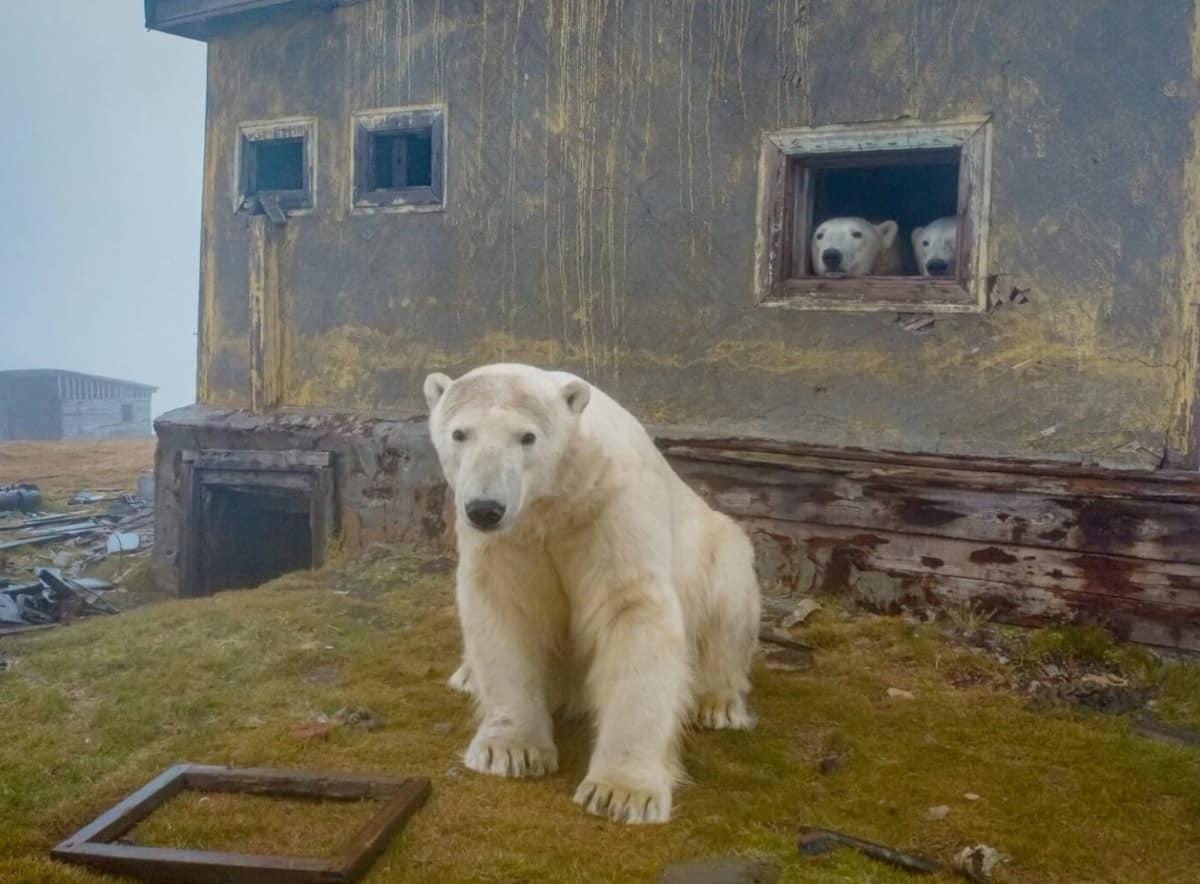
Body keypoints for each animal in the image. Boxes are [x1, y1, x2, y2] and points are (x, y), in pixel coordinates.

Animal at [424, 364, 758, 820]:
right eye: (460, 433)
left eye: (527, 437)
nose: (485, 508)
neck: (555, 500)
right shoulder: (511, 539)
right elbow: (505, 609)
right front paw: (510, 751)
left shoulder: (609, 508)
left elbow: (631, 610)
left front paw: (622, 792)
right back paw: (467, 676)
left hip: (717, 548)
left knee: (728, 602)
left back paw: (718, 703)